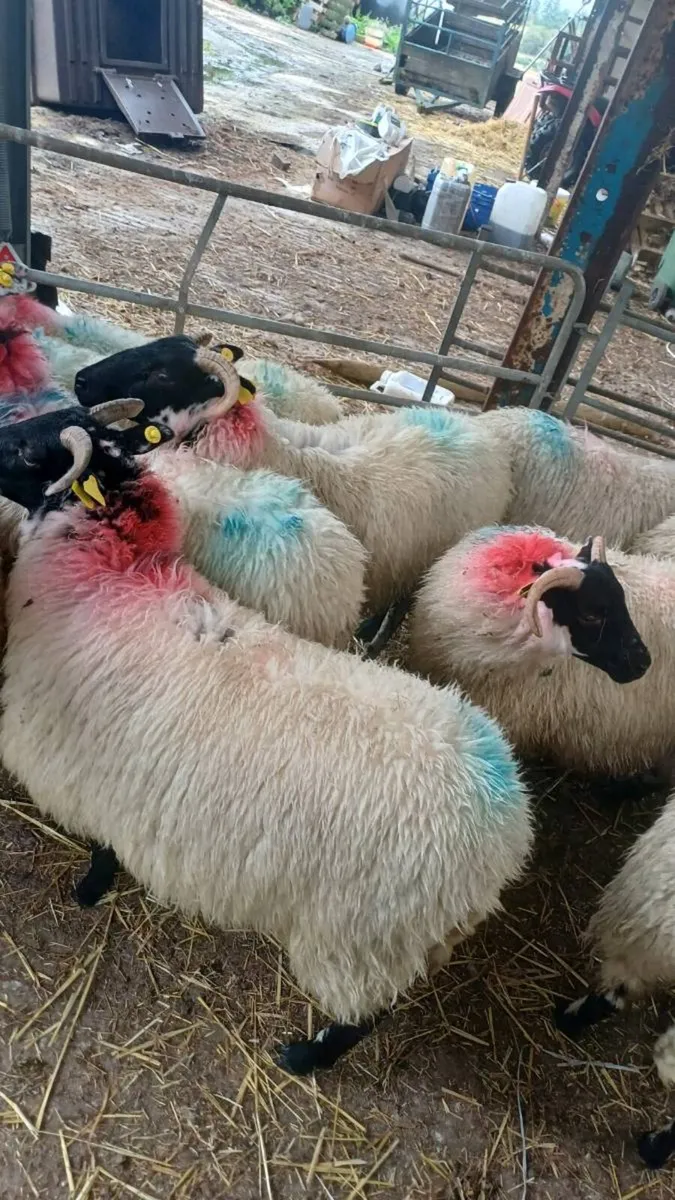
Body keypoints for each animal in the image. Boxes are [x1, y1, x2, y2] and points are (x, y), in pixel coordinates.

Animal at [0, 402, 533, 1074]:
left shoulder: (87, 772)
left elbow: (103, 850)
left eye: (27, 450)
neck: (113, 575)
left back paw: (304, 1057)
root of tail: (506, 820)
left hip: (364, 937)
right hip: (409, 937)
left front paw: (90, 891)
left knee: (365, 1014)